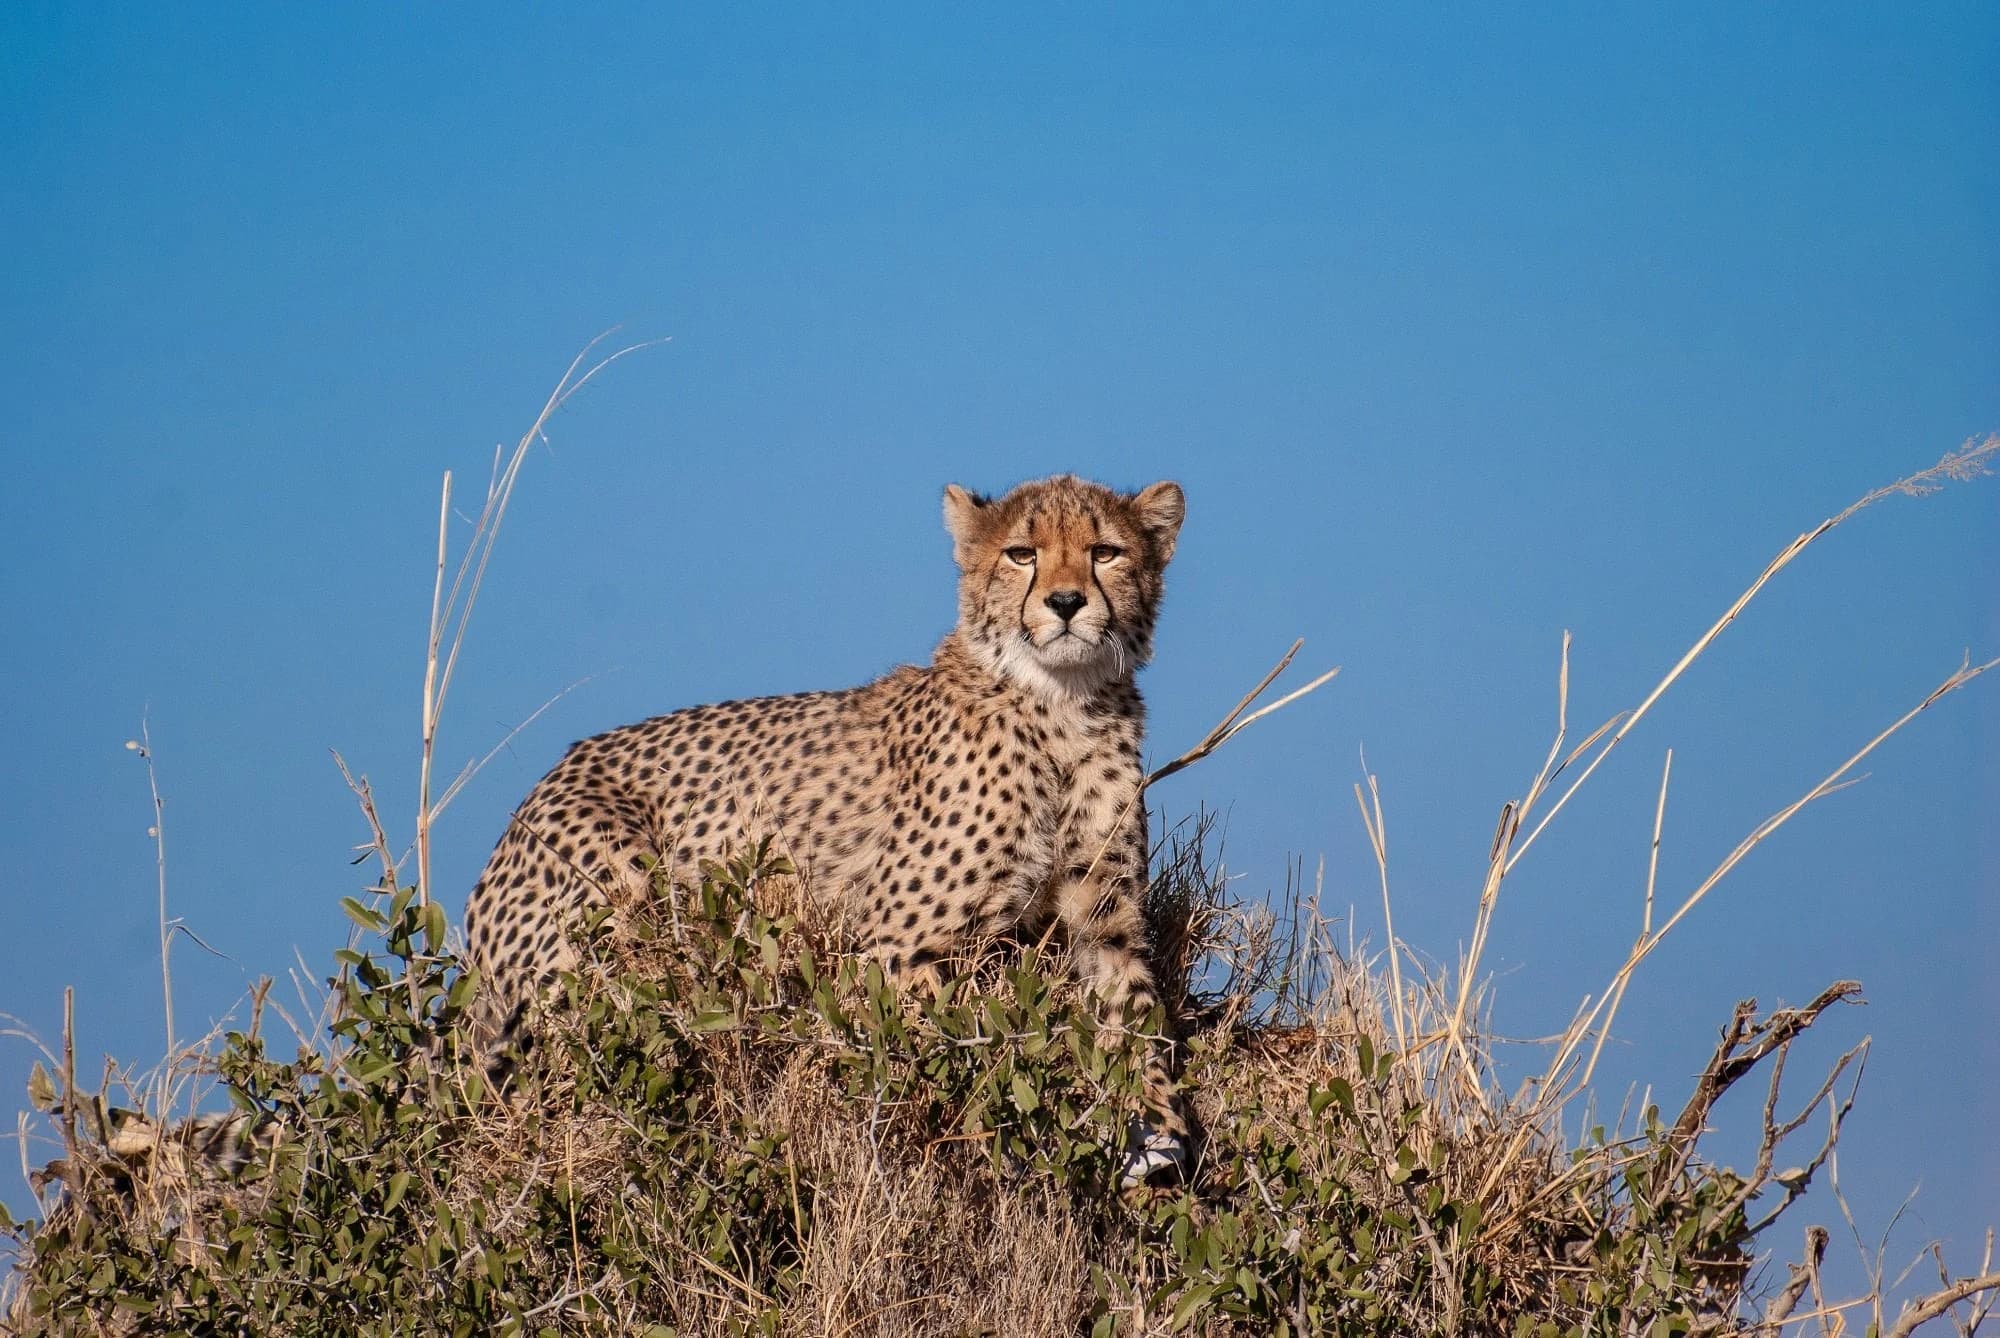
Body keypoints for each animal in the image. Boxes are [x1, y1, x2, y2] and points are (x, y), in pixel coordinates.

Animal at [463, 473, 1190, 1181]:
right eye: (1021, 554)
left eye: (1105, 552)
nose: (1066, 602)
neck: (1064, 707)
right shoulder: (899, 943)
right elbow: (952, 1048)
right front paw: (992, 1132)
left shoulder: (1106, 918)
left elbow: (1138, 1016)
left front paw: (1160, 1128)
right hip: (615, 902)